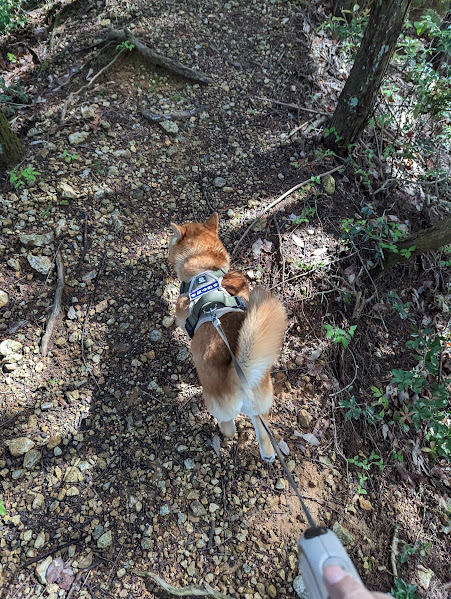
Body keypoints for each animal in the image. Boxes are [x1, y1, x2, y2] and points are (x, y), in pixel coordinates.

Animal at [170, 213, 286, 462]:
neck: (205, 269)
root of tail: (239, 375)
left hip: (218, 407)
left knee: (228, 428)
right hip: (261, 408)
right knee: (264, 437)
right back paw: (268, 455)